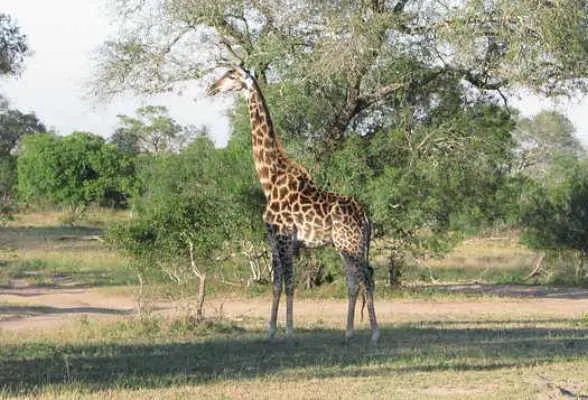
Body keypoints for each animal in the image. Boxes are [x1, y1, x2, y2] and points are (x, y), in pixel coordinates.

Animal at [207, 64, 382, 342]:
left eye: (231, 75)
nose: (212, 87)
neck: (269, 179)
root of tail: (366, 217)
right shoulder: (273, 238)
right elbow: (277, 283)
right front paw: (270, 330)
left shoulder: (285, 237)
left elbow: (290, 282)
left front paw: (288, 330)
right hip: (346, 245)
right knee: (355, 279)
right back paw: (348, 332)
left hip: (350, 243)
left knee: (366, 276)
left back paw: (374, 333)